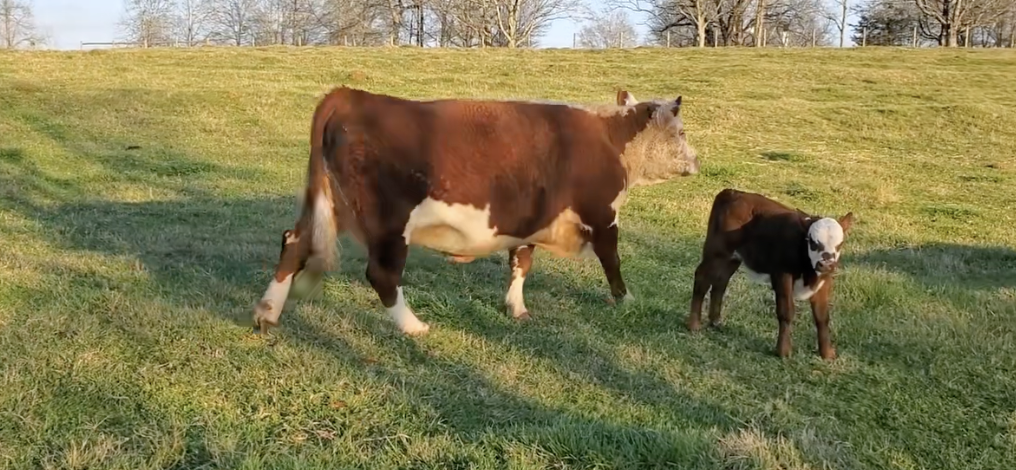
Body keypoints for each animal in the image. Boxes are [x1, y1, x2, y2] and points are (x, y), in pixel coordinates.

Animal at [253, 86, 700, 336]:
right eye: (681, 132)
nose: (698, 161)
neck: (610, 138)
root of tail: (350, 94)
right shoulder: (603, 214)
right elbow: (613, 261)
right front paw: (626, 300)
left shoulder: (528, 221)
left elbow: (521, 262)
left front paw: (516, 308)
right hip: (389, 221)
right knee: (381, 274)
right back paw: (413, 326)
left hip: (330, 205)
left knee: (294, 243)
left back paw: (267, 313)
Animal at [687, 188, 855, 360]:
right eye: (813, 242)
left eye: (840, 244)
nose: (826, 264)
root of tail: (733, 192)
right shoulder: (782, 275)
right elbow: (786, 311)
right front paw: (783, 351)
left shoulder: (824, 280)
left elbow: (822, 317)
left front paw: (827, 353)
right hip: (716, 252)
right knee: (702, 278)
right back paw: (694, 325)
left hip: (732, 258)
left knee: (720, 282)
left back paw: (715, 322)